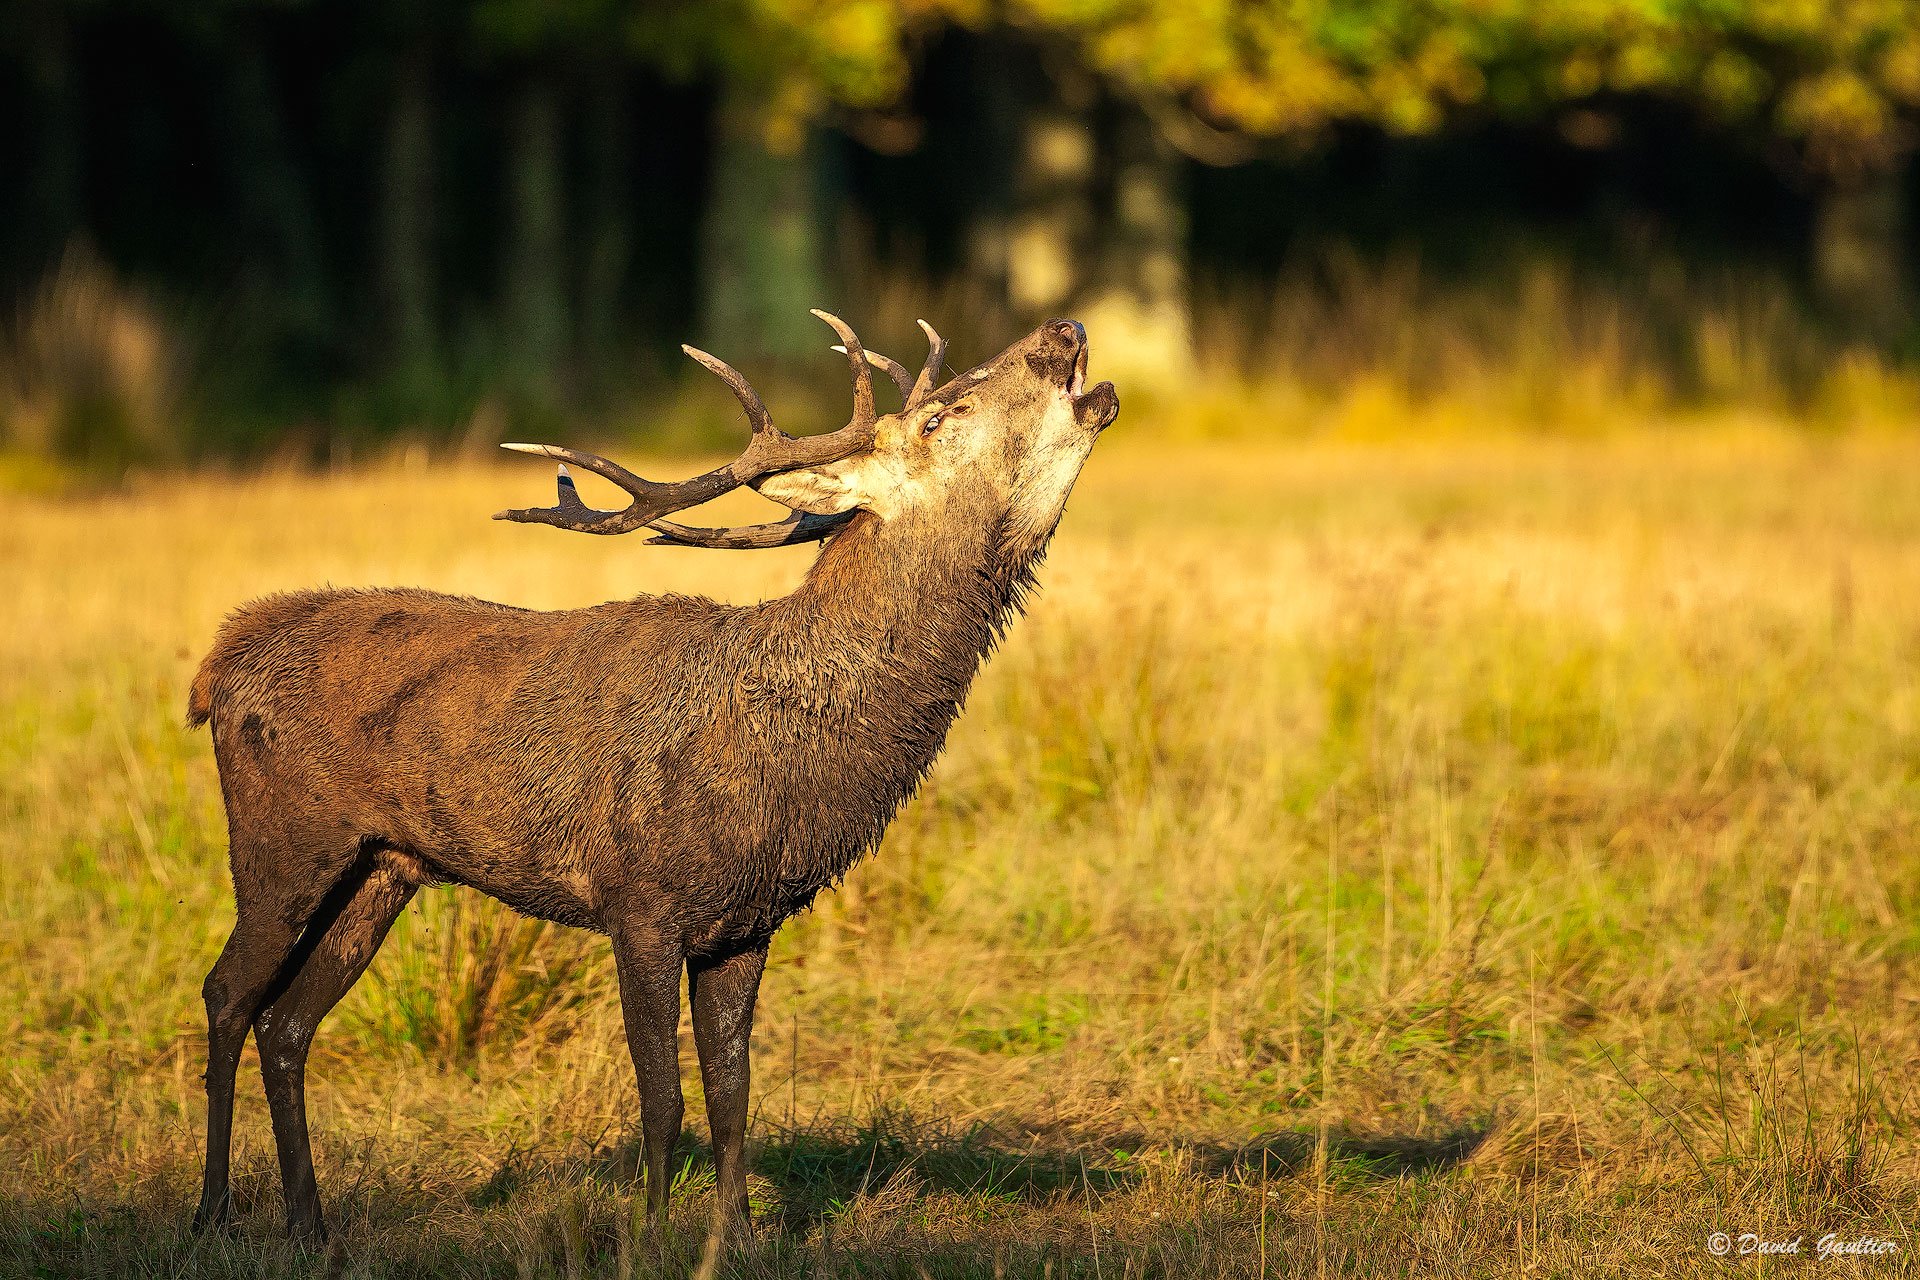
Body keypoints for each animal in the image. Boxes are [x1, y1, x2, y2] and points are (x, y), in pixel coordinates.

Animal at [184, 311, 1119, 1245]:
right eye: (938, 417)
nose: (1063, 329)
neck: (791, 759)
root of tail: (217, 665)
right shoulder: (639, 901)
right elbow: (663, 1100)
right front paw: (652, 1231)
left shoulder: (746, 925)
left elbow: (734, 1097)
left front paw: (734, 1238)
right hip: (282, 839)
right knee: (227, 993)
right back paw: (211, 1212)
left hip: (382, 867)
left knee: (288, 1021)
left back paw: (310, 1221)